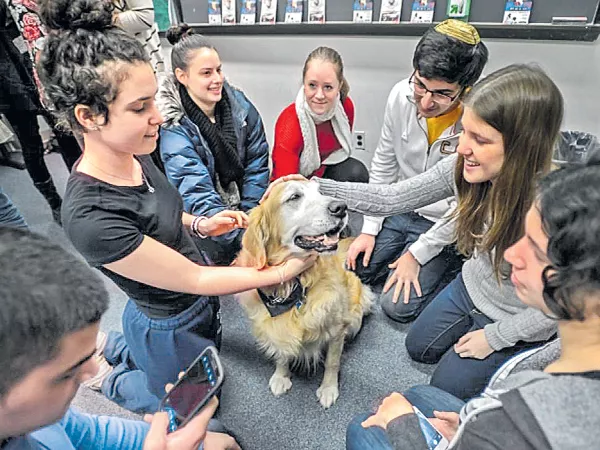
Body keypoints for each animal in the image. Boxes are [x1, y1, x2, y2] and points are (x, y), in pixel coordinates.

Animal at [236, 179, 372, 408]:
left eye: (320, 192)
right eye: (294, 197)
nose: (341, 207)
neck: (294, 287)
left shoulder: (337, 329)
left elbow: (332, 362)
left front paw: (328, 388)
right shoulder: (274, 326)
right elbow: (282, 352)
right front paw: (281, 376)